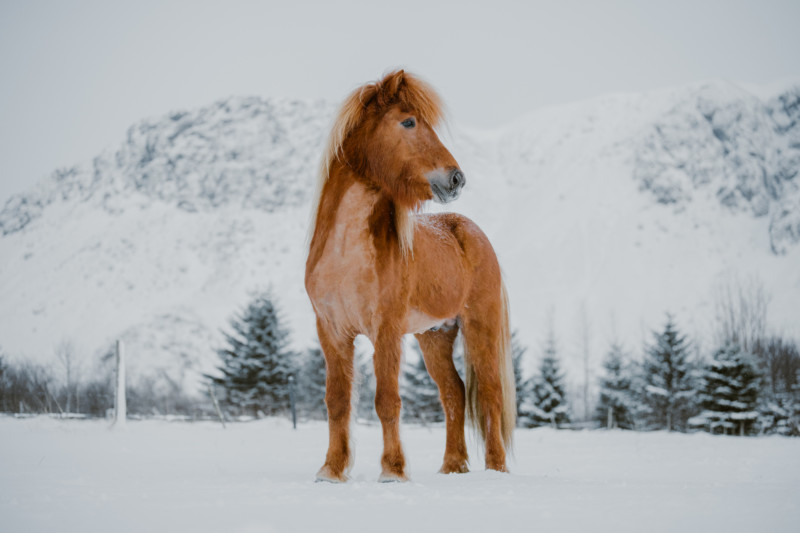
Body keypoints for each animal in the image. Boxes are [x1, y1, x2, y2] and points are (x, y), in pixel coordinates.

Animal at [304, 68, 516, 480]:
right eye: (408, 121)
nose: (456, 179)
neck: (345, 254)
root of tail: (472, 232)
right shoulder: (332, 331)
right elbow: (337, 401)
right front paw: (331, 471)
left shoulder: (385, 329)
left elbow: (387, 399)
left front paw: (393, 470)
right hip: (435, 335)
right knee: (454, 392)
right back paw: (453, 467)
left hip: (479, 325)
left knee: (490, 394)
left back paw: (496, 469)